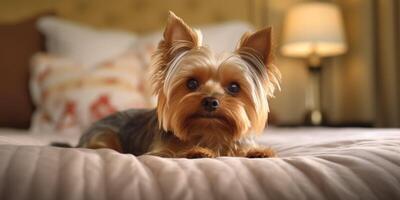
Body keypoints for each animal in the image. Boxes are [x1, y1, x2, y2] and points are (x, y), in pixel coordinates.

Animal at [76, 11, 280, 159]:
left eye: (234, 87)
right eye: (192, 83)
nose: (210, 102)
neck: (210, 133)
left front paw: (258, 152)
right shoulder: (160, 151)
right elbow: (176, 152)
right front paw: (198, 151)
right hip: (104, 135)